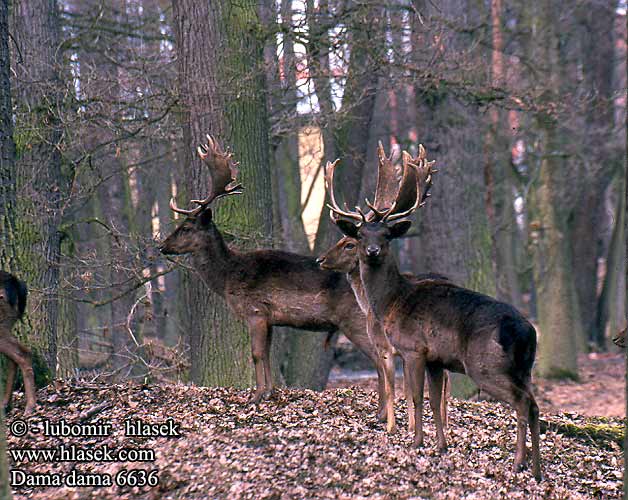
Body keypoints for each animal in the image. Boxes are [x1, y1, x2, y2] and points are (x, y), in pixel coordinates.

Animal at [161, 136, 398, 430]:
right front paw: (270, 392)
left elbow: (256, 354)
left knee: (381, 358)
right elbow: (268, 354)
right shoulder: (270, 318)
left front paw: (255, 397)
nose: (162, 246)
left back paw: (381, 414)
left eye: (186, 228)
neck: (228, 276)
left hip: (354, 321)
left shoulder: (254, 310)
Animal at [326, 145, 544, 480]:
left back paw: (518, 462)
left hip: (485, 364)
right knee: (534, 404)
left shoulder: (413, 348)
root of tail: (525, 331)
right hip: (525, 367)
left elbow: (416, 396)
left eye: (387, 235)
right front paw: (440, 446)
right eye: (361, 235)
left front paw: (415, 441)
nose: (372, 251)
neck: (391, 301)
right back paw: (536, 468)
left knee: (522, 403)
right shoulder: (437, 359)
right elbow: (433, 400)